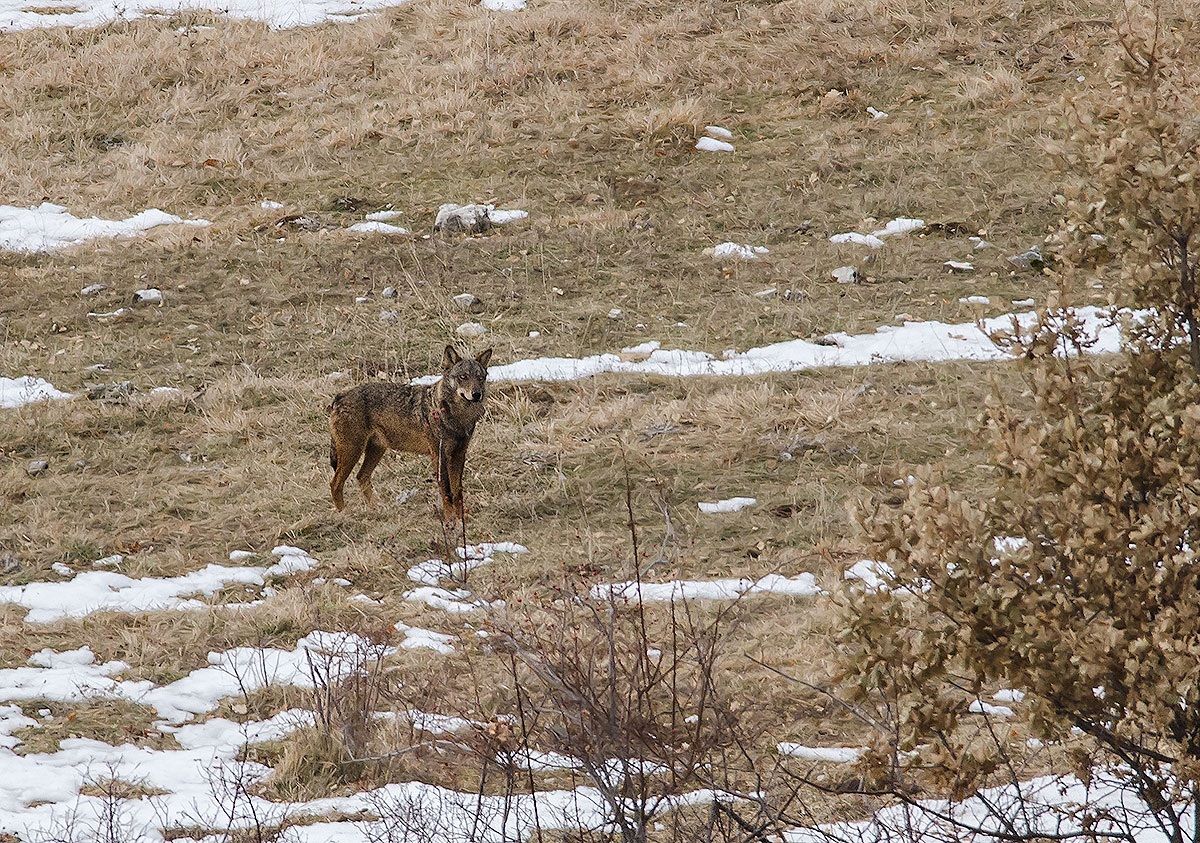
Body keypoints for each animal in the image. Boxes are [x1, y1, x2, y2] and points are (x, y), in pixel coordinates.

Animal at [328, 345, 493, 522]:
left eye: (480, 378)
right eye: (463, 377)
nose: (477, 394)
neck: (457, 417)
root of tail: (340, 396)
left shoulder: (459, 455)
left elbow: (457, 492)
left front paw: (460, 518)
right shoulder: (439, 456)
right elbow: (446, 492)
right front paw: (450, 519)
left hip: (375, 450)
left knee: (361, 476)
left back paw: (377, 509)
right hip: (352, 452)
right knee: (335, 484)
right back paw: (344, 515)